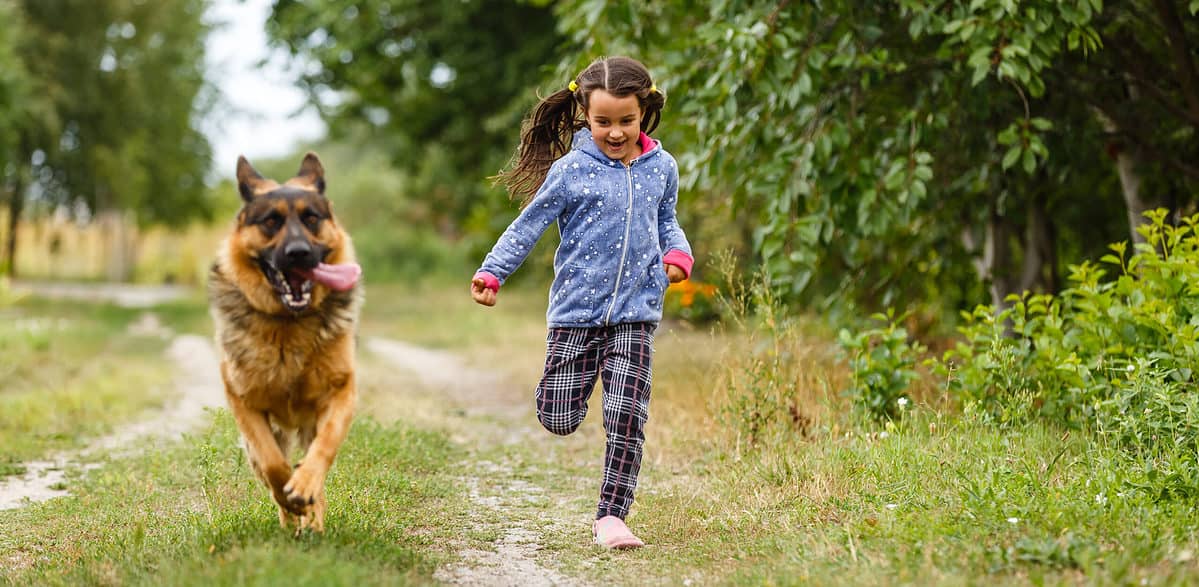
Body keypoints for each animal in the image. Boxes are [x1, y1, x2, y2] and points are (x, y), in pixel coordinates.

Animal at [206, 153, 359, 534]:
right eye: (271, 221)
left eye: (311, 218)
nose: (299, 253)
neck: (290, 324)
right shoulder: (245, 404)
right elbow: (274, 465)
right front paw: (289, 497)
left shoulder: (342, 393)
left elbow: (324, 447)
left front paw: (304, 487)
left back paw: (311, 516)